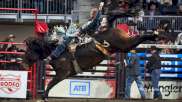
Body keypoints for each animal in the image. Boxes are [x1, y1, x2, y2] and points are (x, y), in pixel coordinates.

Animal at [23, 20, 171, 99]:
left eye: (29, 51)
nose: (22, 64)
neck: (57, 52)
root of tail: (114, 29)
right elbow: (49, 85)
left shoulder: (62, 74)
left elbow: (49, 85)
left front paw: (44, 96)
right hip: (124, 47)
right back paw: (157, 34)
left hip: (124, 44)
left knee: (139, 38)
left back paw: (156, 33)